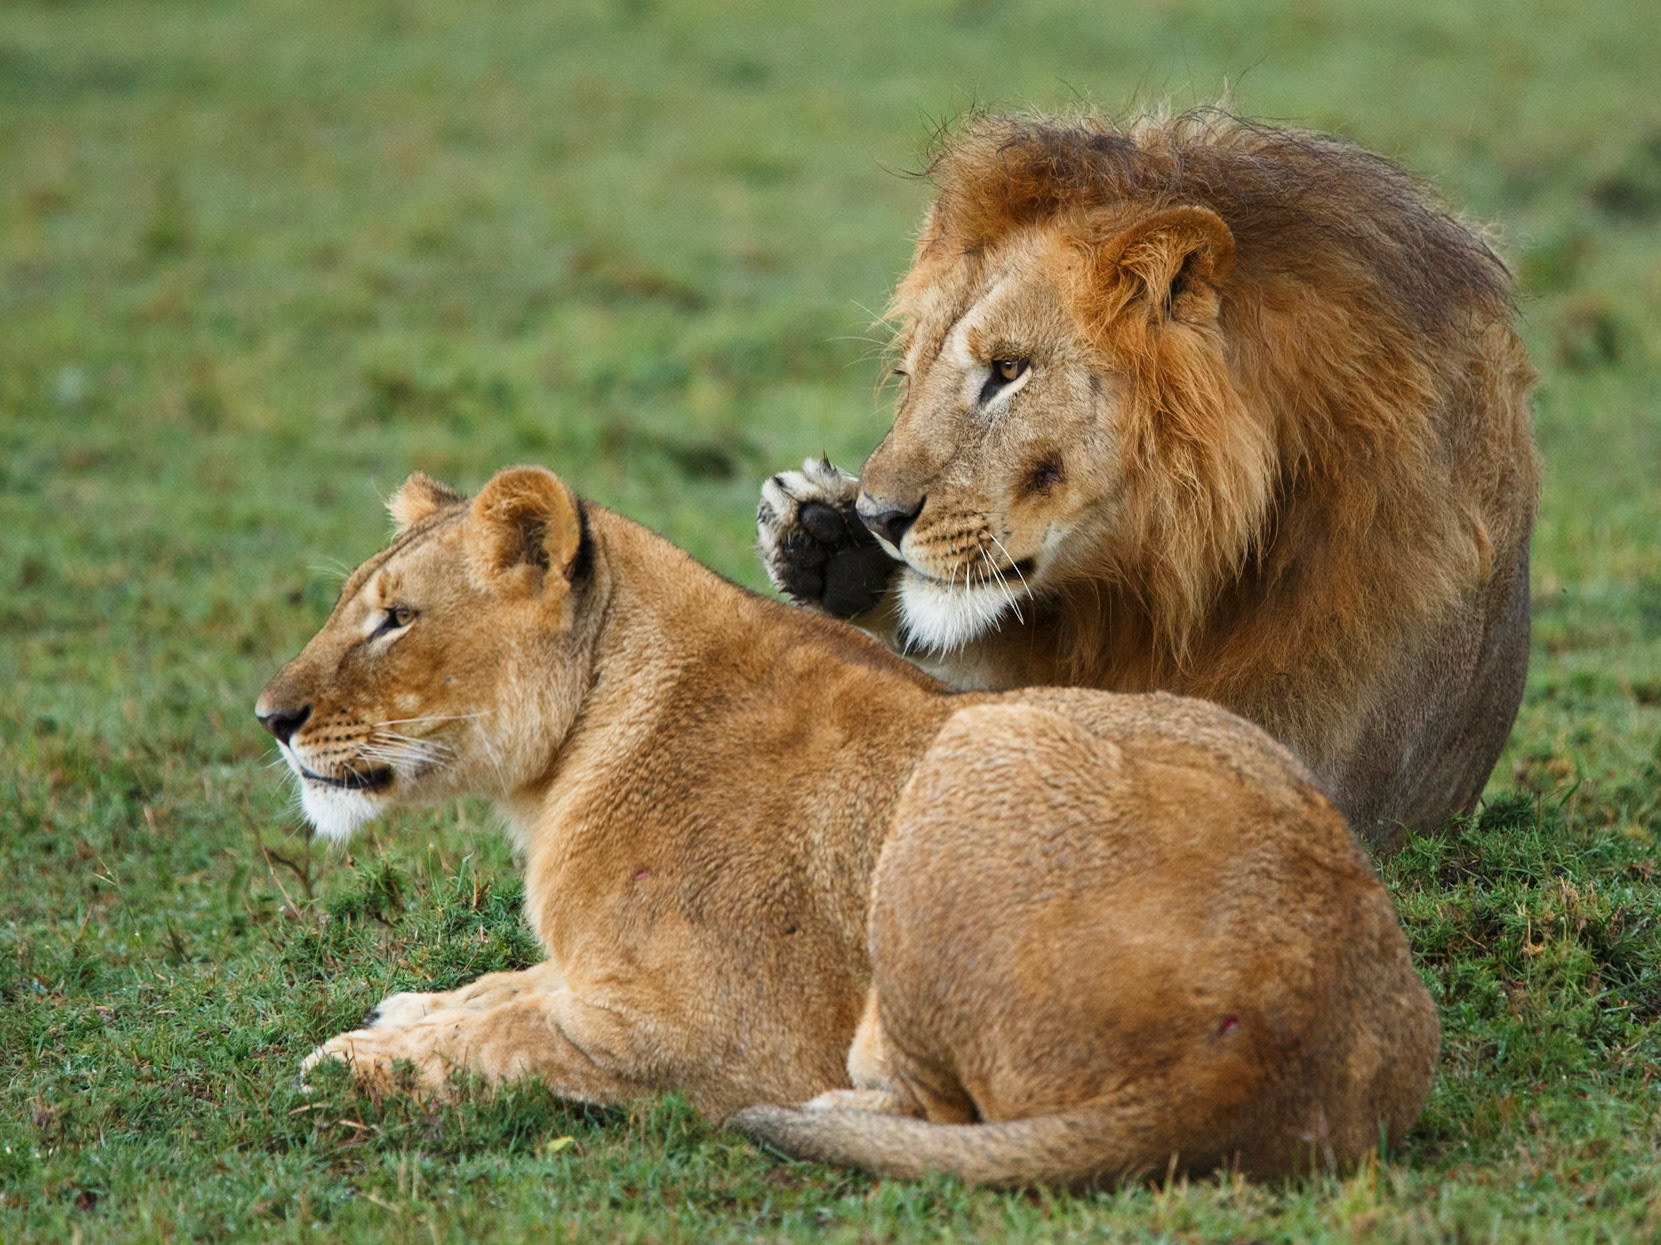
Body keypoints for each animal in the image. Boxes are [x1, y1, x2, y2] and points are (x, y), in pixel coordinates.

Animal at [257, 464, 1439, 1186]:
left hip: (969, 757)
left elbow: (521, 1031)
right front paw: (409, 1009)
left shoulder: (723, 1037)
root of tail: (1287, 1036)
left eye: (395, 620)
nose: (269, 717)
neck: (569, 753)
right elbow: (511, 987)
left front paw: (358, 1059)